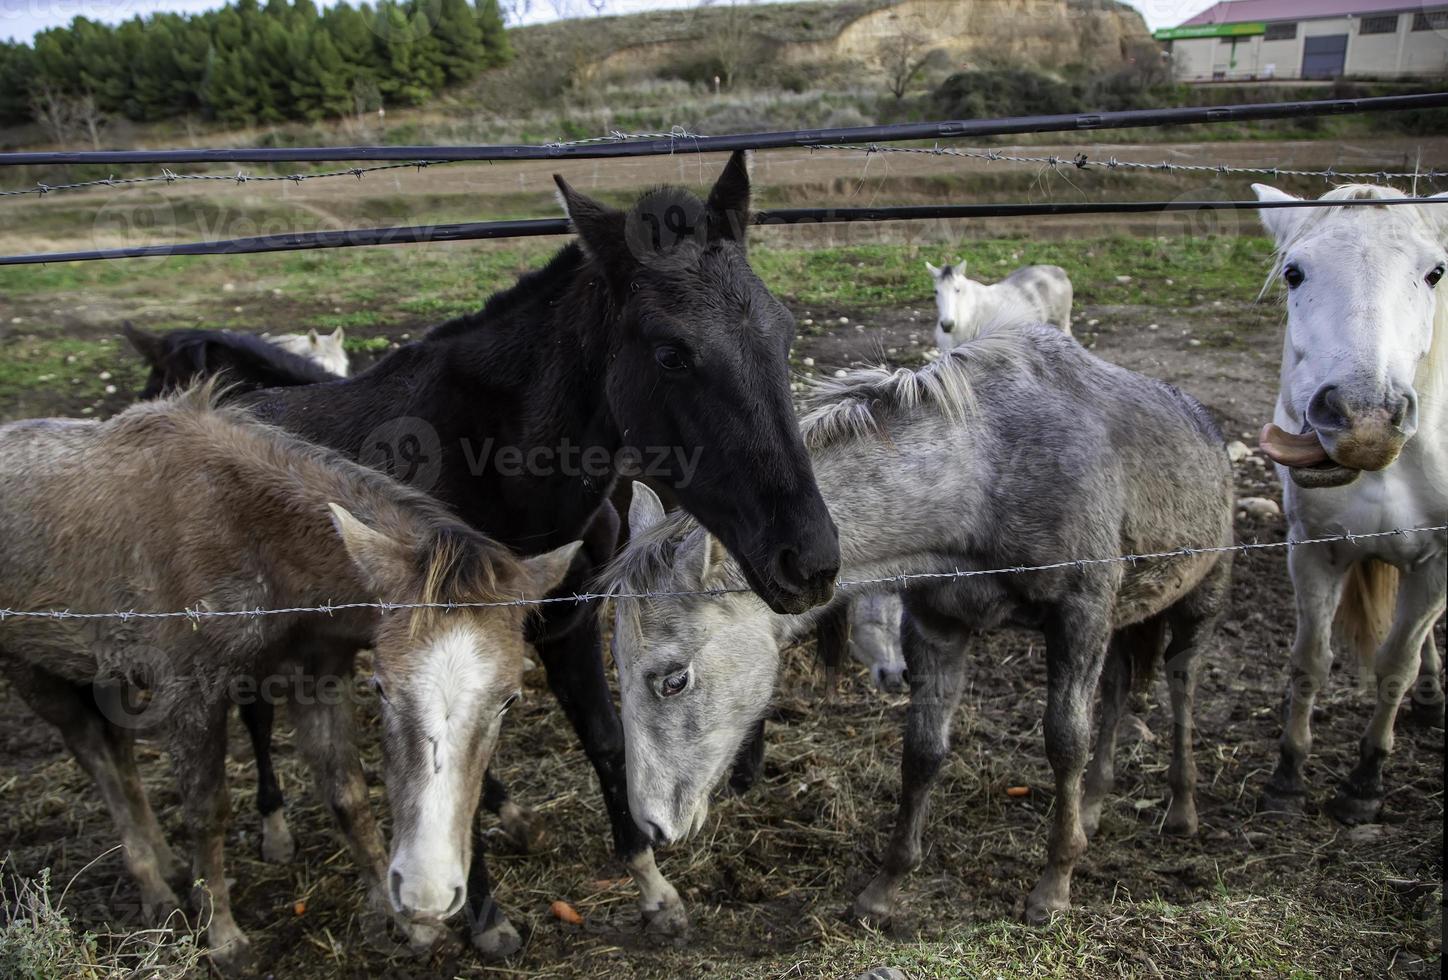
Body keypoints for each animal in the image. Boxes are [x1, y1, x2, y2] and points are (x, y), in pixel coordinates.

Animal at [0, 390, 576, 972]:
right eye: (382, 688)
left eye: (509, 699)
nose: (425, 893)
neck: (252, 543)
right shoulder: (190, 693)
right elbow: (207, 812)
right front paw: (224, 938)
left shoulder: (319, 671)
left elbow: (348, 795)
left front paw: (410, 928)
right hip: (35, 672)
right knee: (96, 757)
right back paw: (154, 888)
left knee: (118, 754)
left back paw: (167, 866)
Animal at [130, 152, 845, 955]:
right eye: (671, 352)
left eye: (784, 333)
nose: (809, 560)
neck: (501, 466)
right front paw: (487, 917)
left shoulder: (567, 625)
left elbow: (601, 742)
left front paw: (653, 887)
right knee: (255, 713)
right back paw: (275, 829)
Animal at [602, 324, 1233, 926]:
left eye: (674, 679)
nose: (651, 824)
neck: (987, 473)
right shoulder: (936, 626)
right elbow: (923, 752)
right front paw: (884, 890)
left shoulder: (1081, 616)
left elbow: (1064, 742)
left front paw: (1053, 888)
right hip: (1130, 616)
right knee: (1122, 686)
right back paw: (1096, 807)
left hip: (1200, 601)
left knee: (1181, 686)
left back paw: (1181, 810)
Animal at [1251, 183, 1442, 828]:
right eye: (1293, 272)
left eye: (1435, 273)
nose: (1366, 422)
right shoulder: (1313, 552)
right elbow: (1310, 659)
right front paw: (1287, 778)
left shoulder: (1439, 561)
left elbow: (1394, 665)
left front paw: (1366, 780)